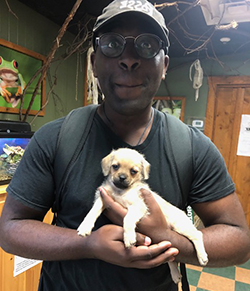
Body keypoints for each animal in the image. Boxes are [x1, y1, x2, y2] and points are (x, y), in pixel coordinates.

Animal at [77, 149, 208, 284]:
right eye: (115, 166)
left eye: (133, 171)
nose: (122, 177)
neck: (121, 191)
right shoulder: (102, 198)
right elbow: (92, 212)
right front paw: (85, 226)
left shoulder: (138, 206)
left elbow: (127, 219)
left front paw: (129, 237)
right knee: (172, 259)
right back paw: (176, 275)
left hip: (181, 227)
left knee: (197, 235)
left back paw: (202, 256)